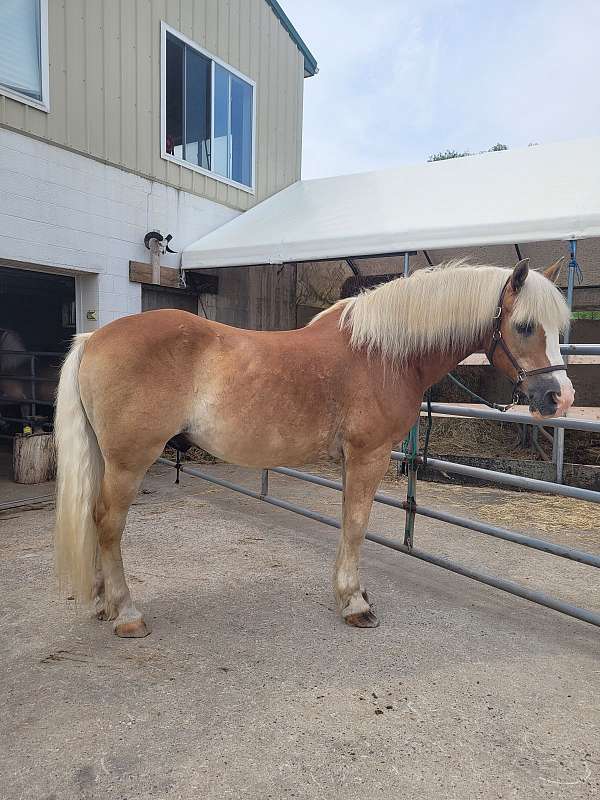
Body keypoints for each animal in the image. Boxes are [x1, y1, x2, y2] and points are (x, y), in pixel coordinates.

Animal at [54, 260, 576, 640]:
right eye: (524, 326)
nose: (560, 397)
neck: (382, 354)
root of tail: (93, 338)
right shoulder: (369, 455)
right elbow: (358, 525)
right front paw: (355, 604)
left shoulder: (352, 461)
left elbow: (348, 524)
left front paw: (349, 594)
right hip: (129, 462)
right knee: (109, 524)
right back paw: (127, 613)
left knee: (96, 519)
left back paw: (104, 602)